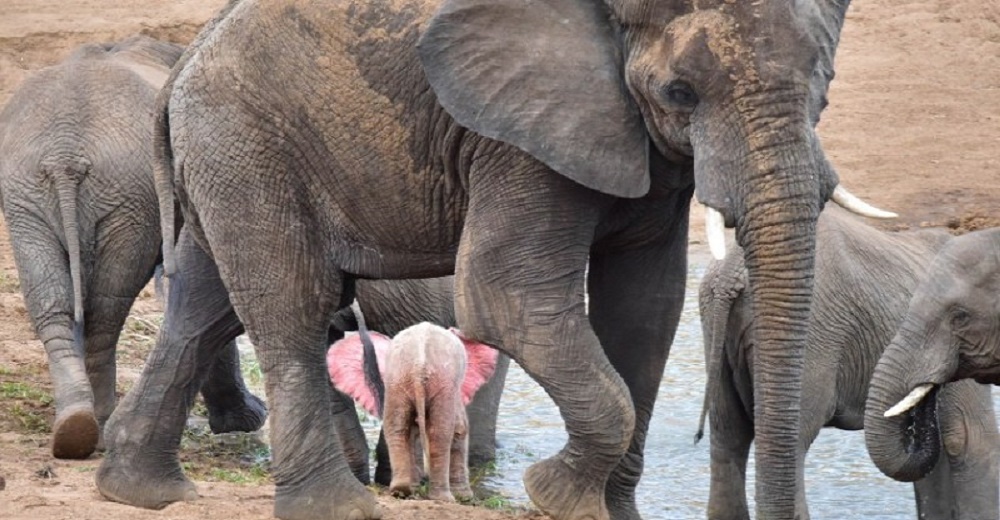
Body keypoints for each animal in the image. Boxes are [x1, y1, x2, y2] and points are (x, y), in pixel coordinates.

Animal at [0, 36, 182, 460]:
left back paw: (75, 429)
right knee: (106, 308)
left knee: (58, 301)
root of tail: (65, 154)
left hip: (36, 194)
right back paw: (92, 429)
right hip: (119, 195)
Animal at [330, 320, 498, 500]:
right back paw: (443, 498)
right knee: (440, 432)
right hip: (441, 380)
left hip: (398, 379)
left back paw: (401, 490)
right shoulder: (453, 389)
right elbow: (459, 428)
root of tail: (419, 364)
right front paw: (464, 497)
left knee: (397, 427)